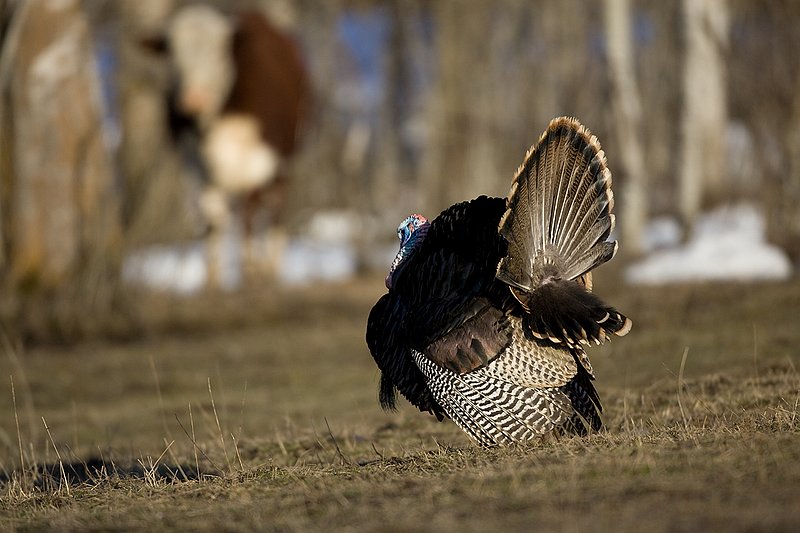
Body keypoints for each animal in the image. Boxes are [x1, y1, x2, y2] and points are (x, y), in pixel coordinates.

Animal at [166, 4, 310, 287]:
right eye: (174, 54)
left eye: (218, 52)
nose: (194, 98)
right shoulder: (196, 164)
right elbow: (212, 217)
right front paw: (212, 281)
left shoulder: (261, 159)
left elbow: (250, 214)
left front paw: (251, 273)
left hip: (284, 162)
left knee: (271, 208)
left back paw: (267, 268)